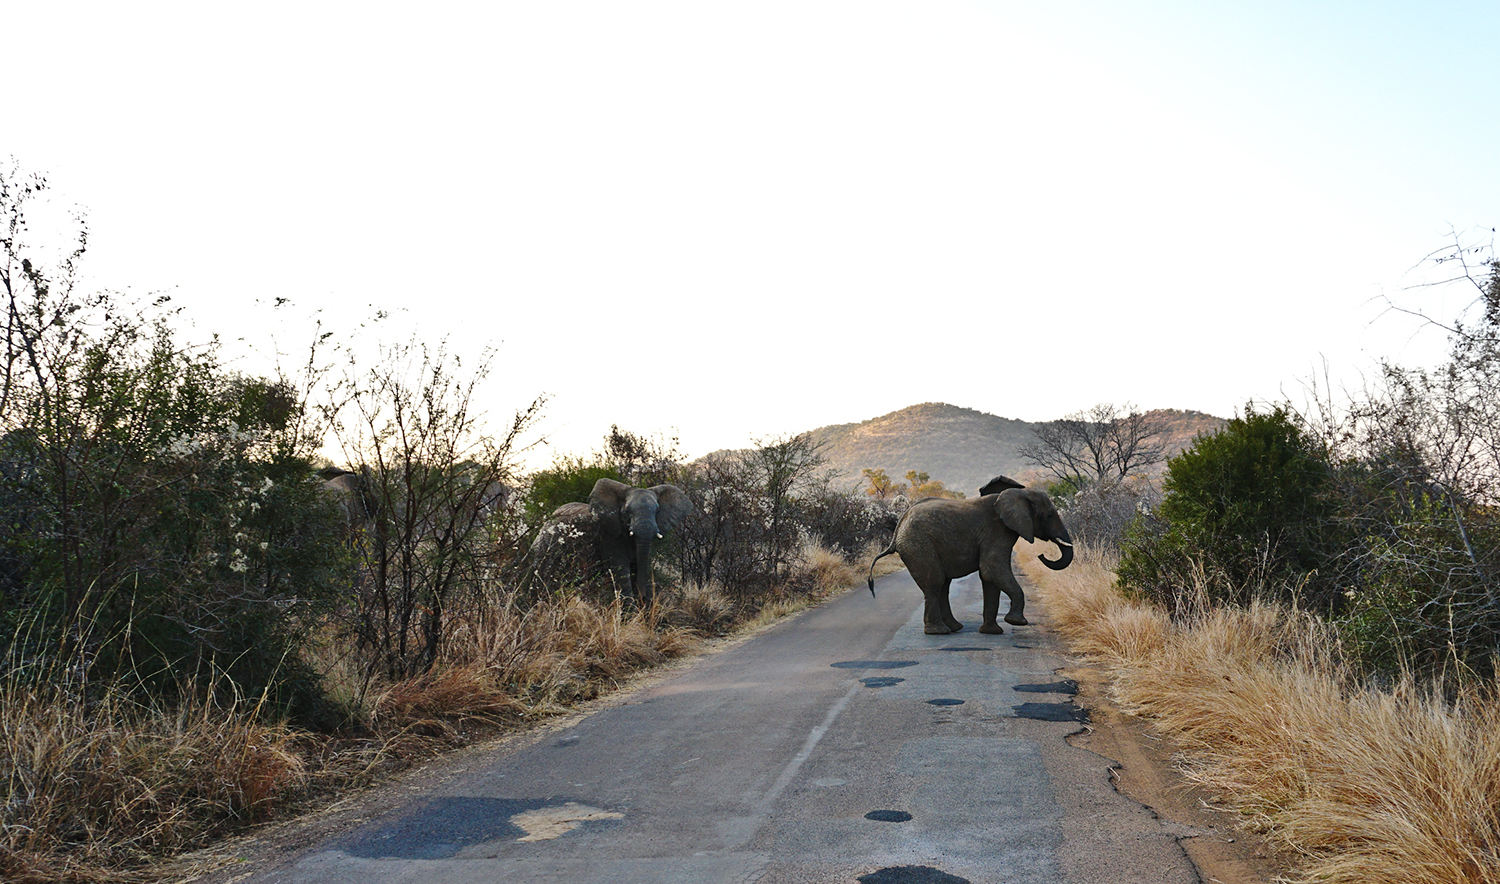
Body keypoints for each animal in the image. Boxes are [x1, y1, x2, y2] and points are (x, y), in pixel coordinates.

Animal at [531, 480, 693, 603]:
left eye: (657, 511)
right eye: (627, 512)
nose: (643, 598)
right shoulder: (609, 536)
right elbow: (621, 572)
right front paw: (630, 618)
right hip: (546, 547)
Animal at [870, 474, 1080, 633]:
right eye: (1050, 515)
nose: (1041, 555)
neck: (1019, 494)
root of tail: (899, 527)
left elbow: (989, 578)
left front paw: (992, 632)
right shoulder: (997, 531)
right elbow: (992, 569)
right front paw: (1016, 622)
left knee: (943, 585)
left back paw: (954, 628)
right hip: (917, 544)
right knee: (935, 582)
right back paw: (939, 632)